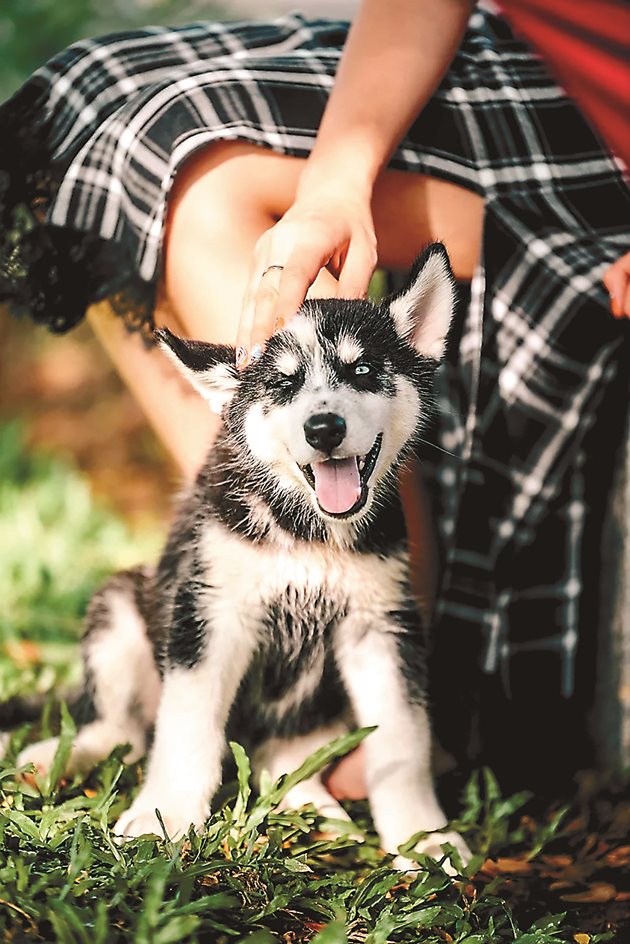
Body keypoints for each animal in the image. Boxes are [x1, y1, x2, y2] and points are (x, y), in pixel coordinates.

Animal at [16, 245, 470, 872]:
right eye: (283, 384)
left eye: (363, 371)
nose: (323, 428)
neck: (306, 533)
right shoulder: (209, 612)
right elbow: (186, 727)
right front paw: (164, 816)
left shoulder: (381, 626)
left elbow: (403, 738)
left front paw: (424, 839)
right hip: (122, 609)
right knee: (122, 730)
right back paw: (57, 756)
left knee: (280, 758)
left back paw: (314, 809)